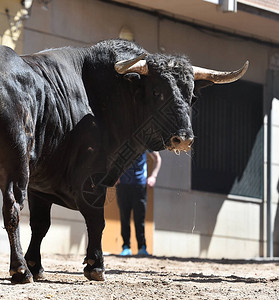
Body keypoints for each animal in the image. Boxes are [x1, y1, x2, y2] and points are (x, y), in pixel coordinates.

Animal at [0, 38, 248, 282]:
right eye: (156, 91)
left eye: (192, 97)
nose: (183, 139)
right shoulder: (91, 180)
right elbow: (96, 220)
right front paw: (96, 266)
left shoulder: (42, 186)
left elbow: (41, 224)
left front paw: (37, 266)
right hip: (17, 164)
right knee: (13, 208)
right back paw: (20, 270)